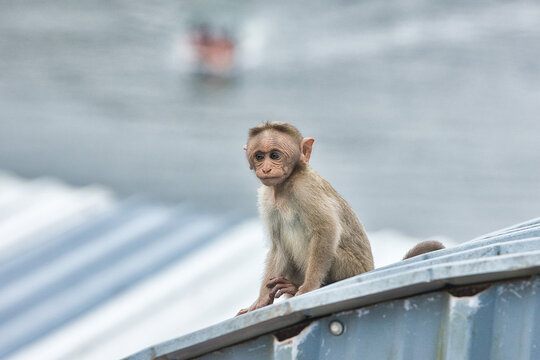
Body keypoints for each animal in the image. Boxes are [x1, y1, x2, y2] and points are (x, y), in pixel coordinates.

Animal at [238, 121, 374, 316]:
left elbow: (326, 230)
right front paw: (260, 301)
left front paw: (309, 287)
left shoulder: (305, 189)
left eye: (275, 155)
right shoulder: (266, 199)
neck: (284, 186)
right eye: (259, 156)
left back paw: (298, 287)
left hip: (351, 268)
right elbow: (278, 247)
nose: (266, 168)